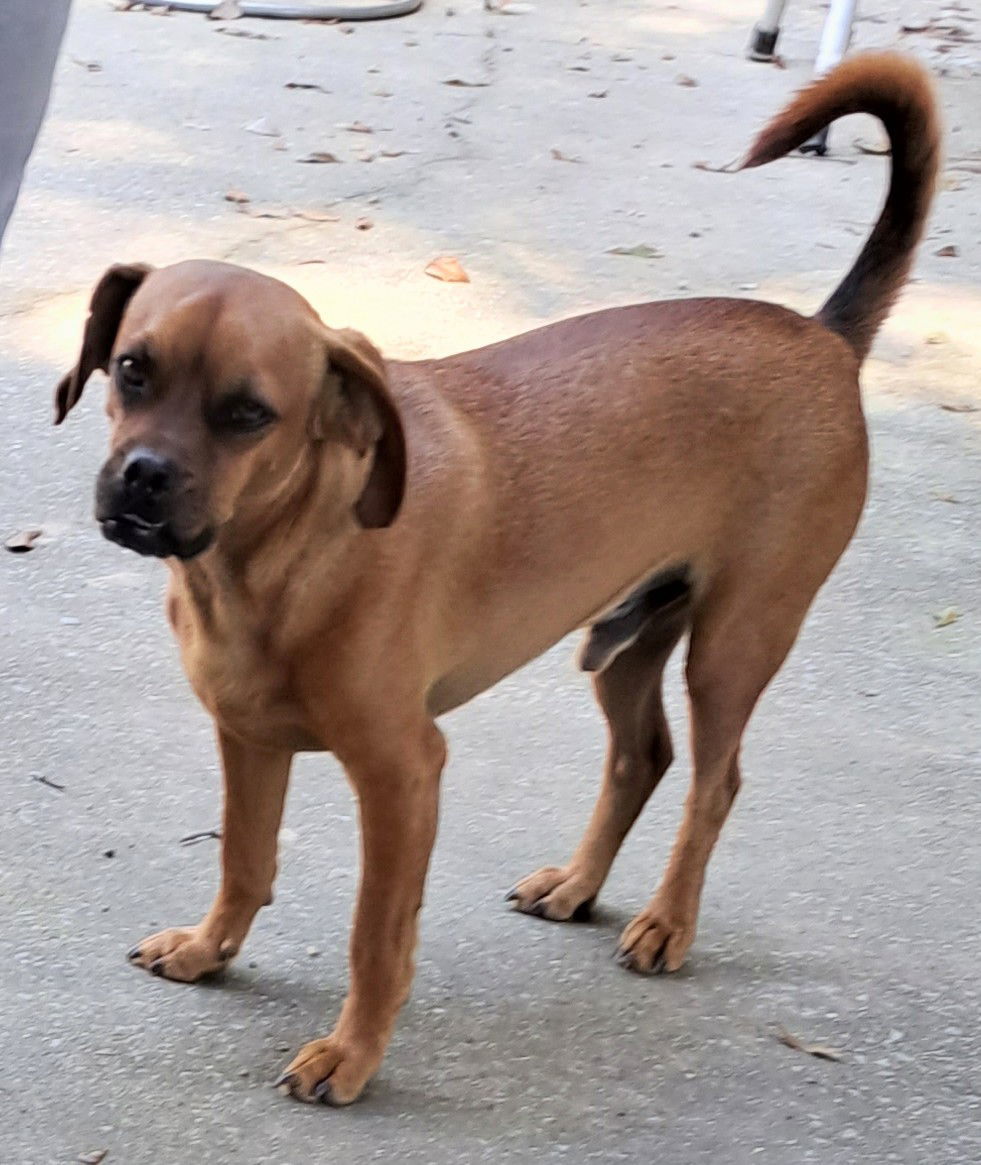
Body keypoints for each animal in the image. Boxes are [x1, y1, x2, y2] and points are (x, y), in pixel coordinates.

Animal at [55, 54, 941, 1104]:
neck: (281, 559)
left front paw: (352, 1053)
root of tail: (823, 335)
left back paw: (667, 922)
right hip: (625, 642)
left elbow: (375, 936)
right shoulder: (248, 739)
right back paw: (578, 884)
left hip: (733, 645)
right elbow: (245, 858)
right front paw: (209, 947)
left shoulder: (403, 772)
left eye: (247, 414)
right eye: (130, 369)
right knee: (642, 758)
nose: (143, 478)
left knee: (713, 784)